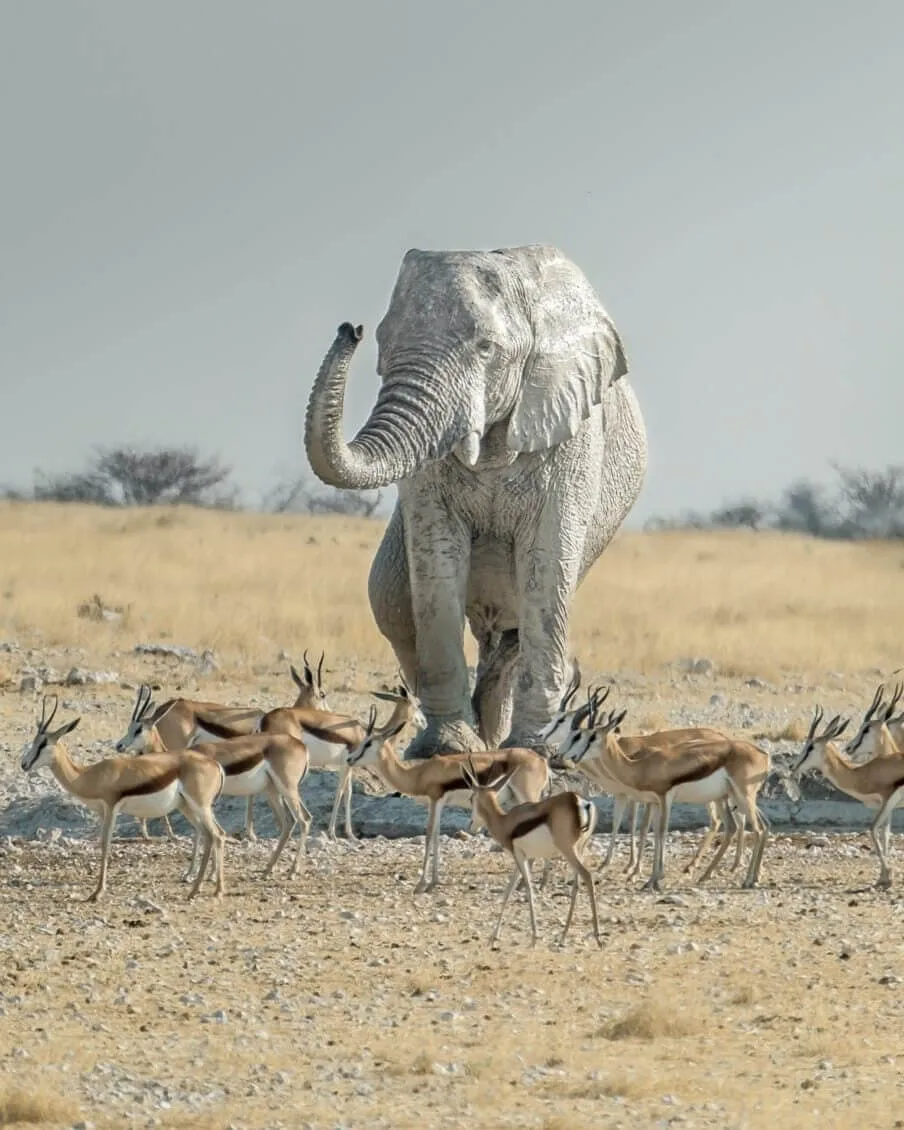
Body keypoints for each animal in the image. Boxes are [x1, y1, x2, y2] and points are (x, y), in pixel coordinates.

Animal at [304, 244, 647, 758]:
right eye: (382, 341)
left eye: (486, 348)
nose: (351, 330)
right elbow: (435, 559)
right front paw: (446, 750)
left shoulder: (572, 433)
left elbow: (546, 567)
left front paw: (533, 753)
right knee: (392, 600)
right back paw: (478, 737)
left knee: (518, 625)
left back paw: (497, 738)